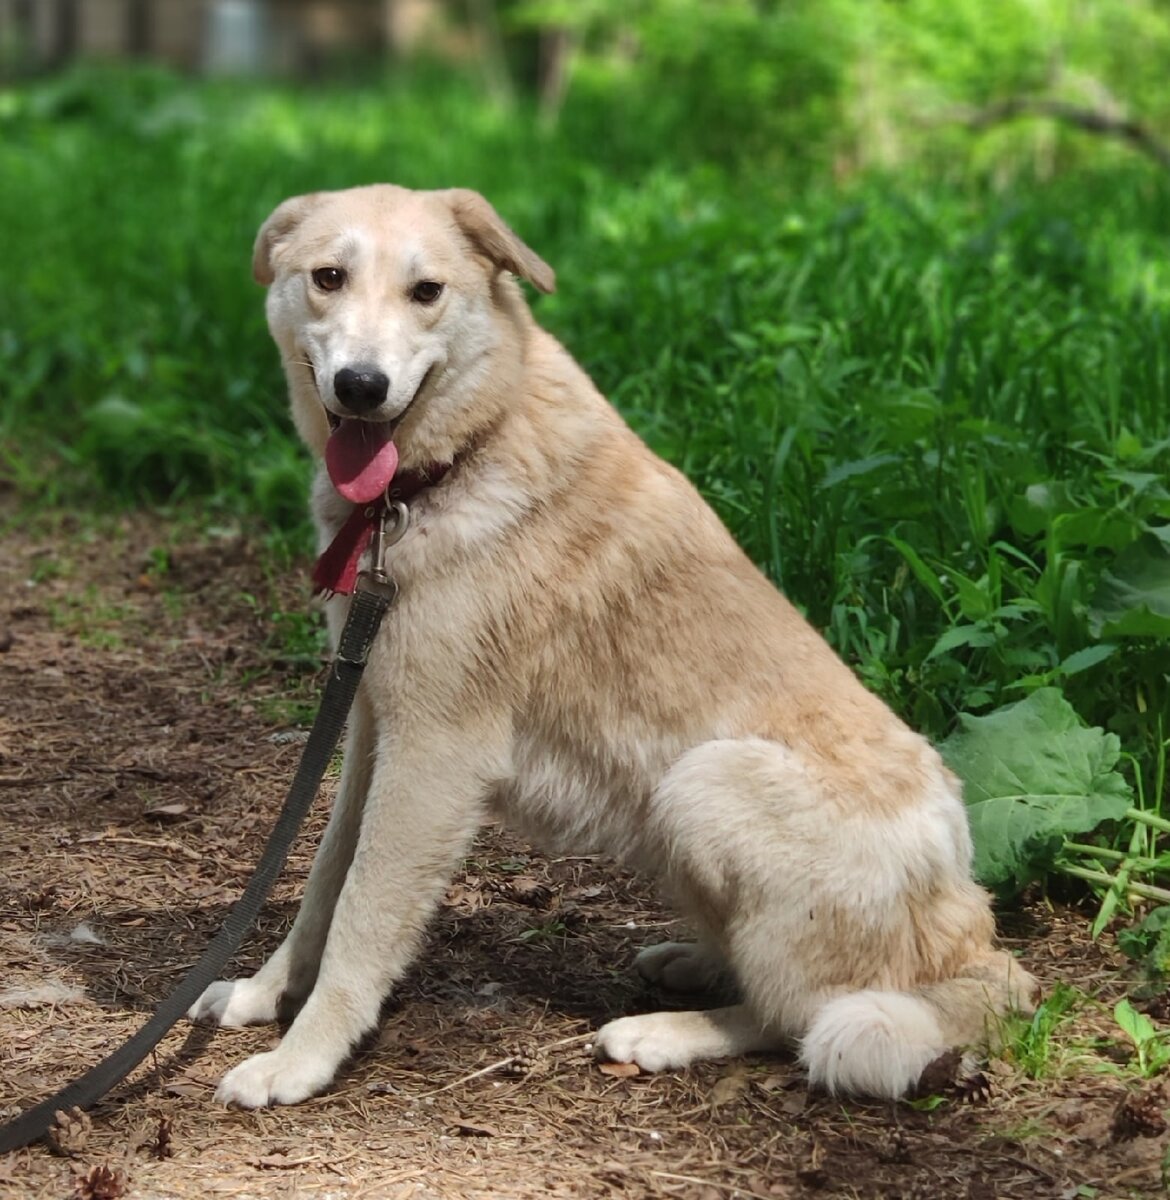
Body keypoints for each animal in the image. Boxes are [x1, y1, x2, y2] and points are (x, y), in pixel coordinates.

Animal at [187, 182, 1036, 1108]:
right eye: (328, 278)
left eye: (427, 292)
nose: (362, 386)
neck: (457, 460)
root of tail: (974, 935)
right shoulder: (372, 723)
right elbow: (320, 885)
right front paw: (266, 995)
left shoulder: (435, 755)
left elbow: (363, 919)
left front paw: (302, 1059)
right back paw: (693, 963)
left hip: (703, 784)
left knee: (798, 1016)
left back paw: (664, 1032)